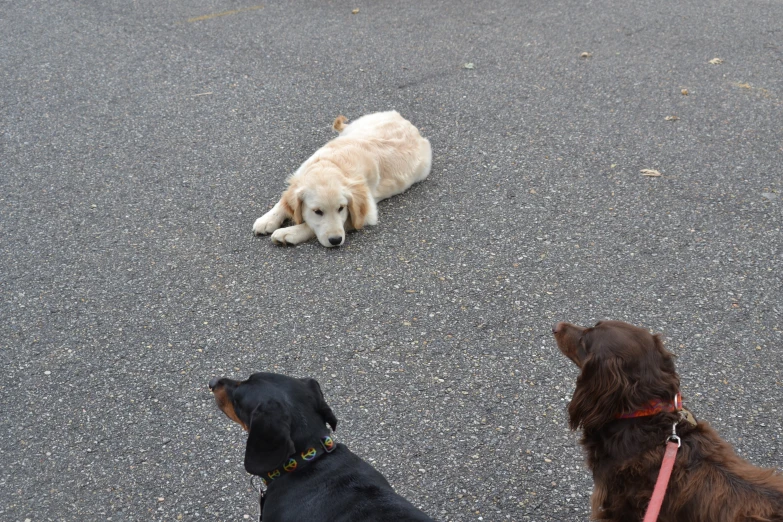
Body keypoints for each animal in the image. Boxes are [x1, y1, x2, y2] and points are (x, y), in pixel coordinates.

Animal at [254, 109, 432, 246]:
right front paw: (267, 220)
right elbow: (282, 202)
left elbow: (313, 226)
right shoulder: (300, 174)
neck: (332, 164)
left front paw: (288, 233)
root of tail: (406, 122)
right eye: (317, 211)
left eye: (341, 208)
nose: (336, 240)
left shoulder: (367, 212)